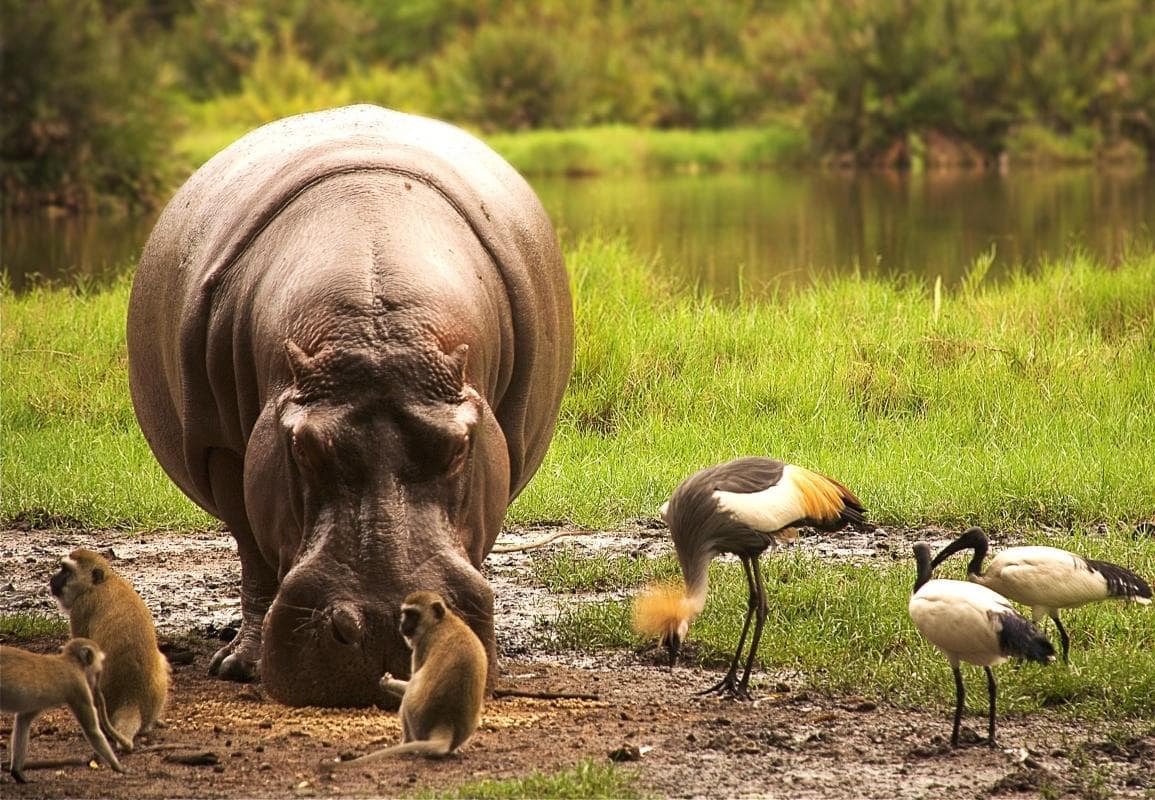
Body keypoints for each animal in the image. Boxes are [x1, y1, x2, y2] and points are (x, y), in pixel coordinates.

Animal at [0, 641, 127, 784]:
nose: (99, 668)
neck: (70, 662)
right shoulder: (79, 687)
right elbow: (92, 731)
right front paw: (118, 766)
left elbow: (23, 721)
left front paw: (17, 772)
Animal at [50, 547, 168, 748]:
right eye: (61, 568)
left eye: (66, 571)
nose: (53, 579)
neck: (101, 583)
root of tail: (131, 698)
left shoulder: (81, 607)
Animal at [332, 588, 485, 766]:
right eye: (405, 613)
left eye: (413, 615)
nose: (402, 625)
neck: (441, 622)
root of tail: (446, 723)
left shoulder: (421, 646)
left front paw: (387, 683)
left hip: (416, 717)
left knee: (408, 697)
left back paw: (406, 745)